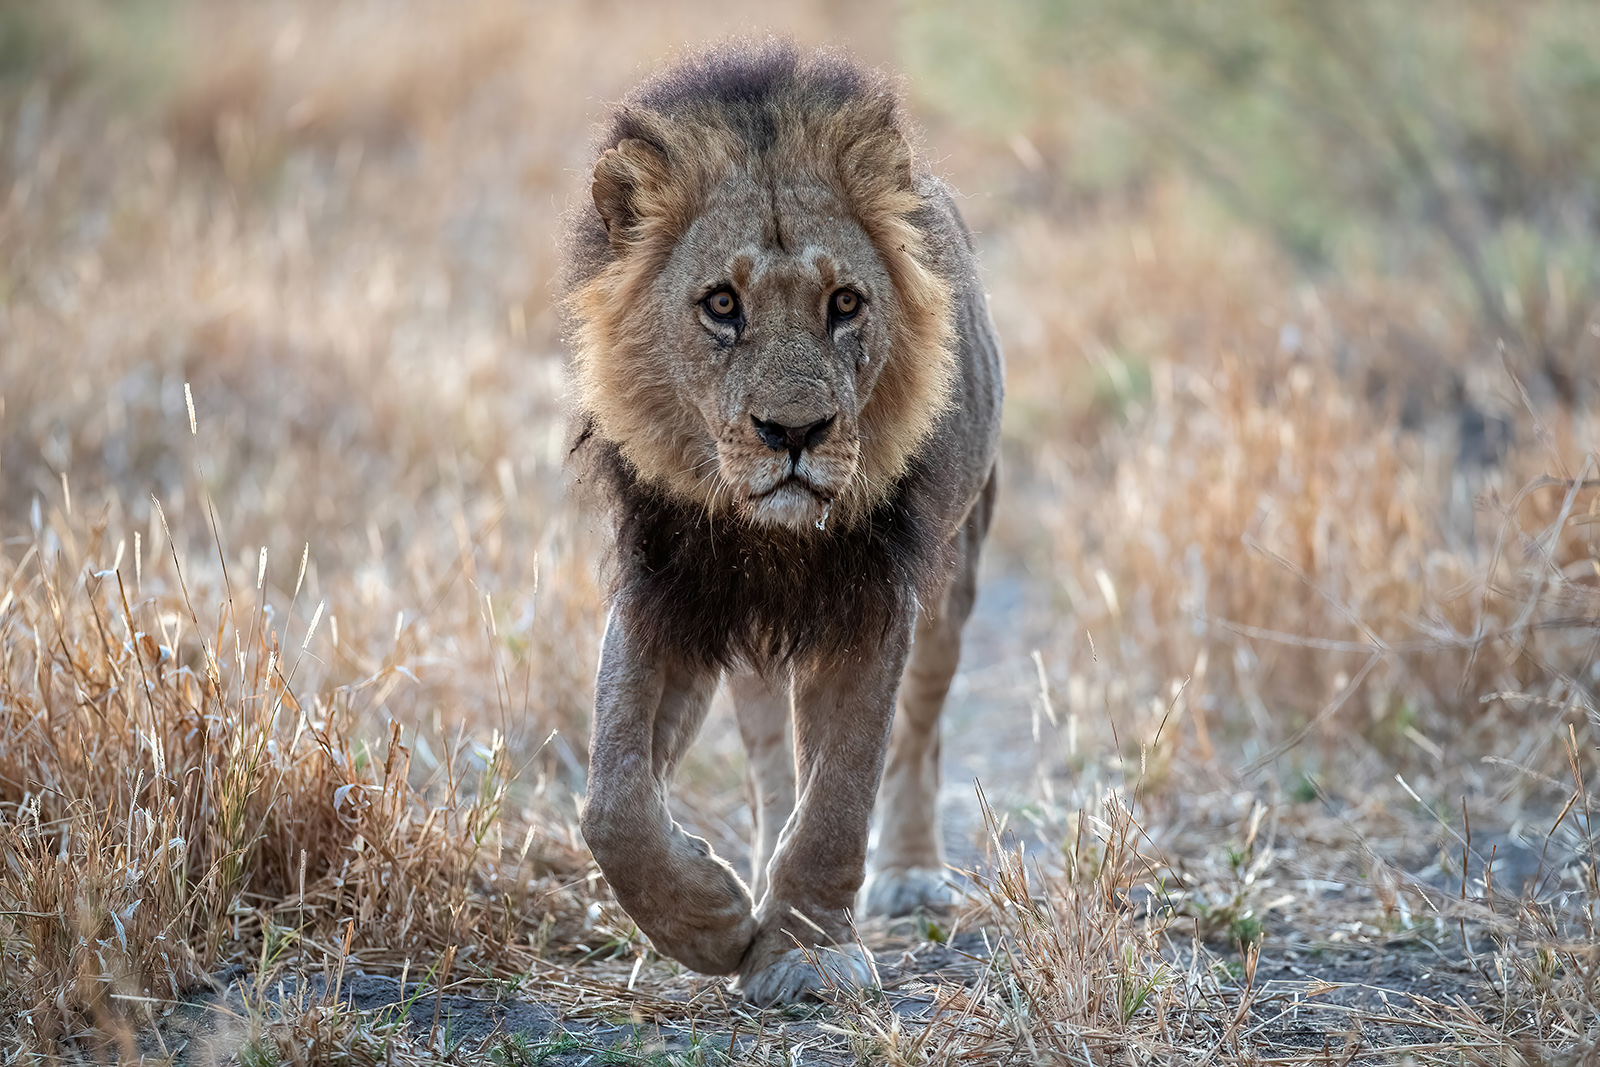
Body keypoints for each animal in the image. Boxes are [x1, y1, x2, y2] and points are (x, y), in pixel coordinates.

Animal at [561, 40, 1003, 1005]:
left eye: (846, 304)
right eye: (722, 305)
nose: (794, 432)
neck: (769, 535)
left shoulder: (875, 599)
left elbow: (841, 790)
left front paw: (804, 950)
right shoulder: (668, 588)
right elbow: (614, 797)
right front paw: (714, 920)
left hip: (956, 573)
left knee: (918, 731)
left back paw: (907, 872)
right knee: (768, 762)